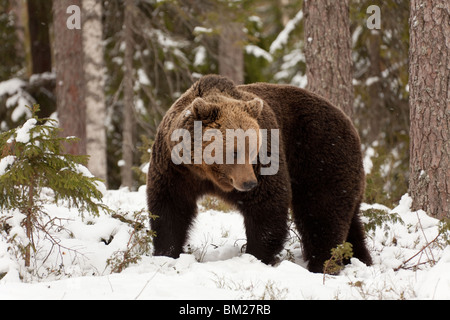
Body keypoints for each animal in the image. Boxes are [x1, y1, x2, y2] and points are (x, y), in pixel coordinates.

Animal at [148, 75, 372, 272]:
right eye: (234, 151)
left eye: (253, 149)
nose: (249, 183)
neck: (206, 172)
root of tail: (348, 121)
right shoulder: (174, 168)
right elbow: (170, 208)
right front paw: (166, 253)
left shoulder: (266, 160)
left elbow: (266, 206)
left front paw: (255, 256)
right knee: (349, 220)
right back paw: (360, 259)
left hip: (320, 156)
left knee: (321, 212)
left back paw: (323, 265)